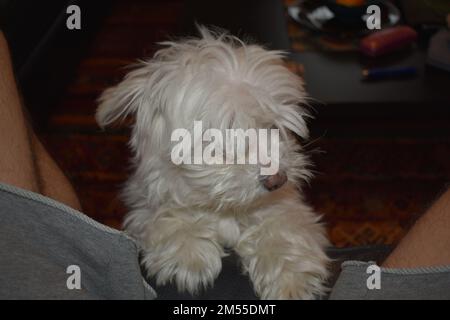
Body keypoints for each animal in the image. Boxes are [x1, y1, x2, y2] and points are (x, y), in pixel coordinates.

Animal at [97, 26, 330, 298]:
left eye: (272, 126)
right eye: (223, 136)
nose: (277, 180)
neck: (225, 207)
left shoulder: (285, 205)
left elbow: (284, 226)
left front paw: (291, 277)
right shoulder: (145, 203)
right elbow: (164, 215)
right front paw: (187, 253)